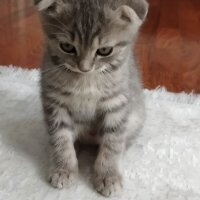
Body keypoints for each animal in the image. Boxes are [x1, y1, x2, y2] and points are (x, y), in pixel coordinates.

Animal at [34, 0, 148, 197]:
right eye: (67, 46)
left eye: (105, 50)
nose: (84, 68)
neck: (86, 80)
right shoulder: (55, 103)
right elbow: (60, 138)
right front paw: (63, 169)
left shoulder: (117, 104)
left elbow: (113, 143)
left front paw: (108, 175)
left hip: (136, 116)